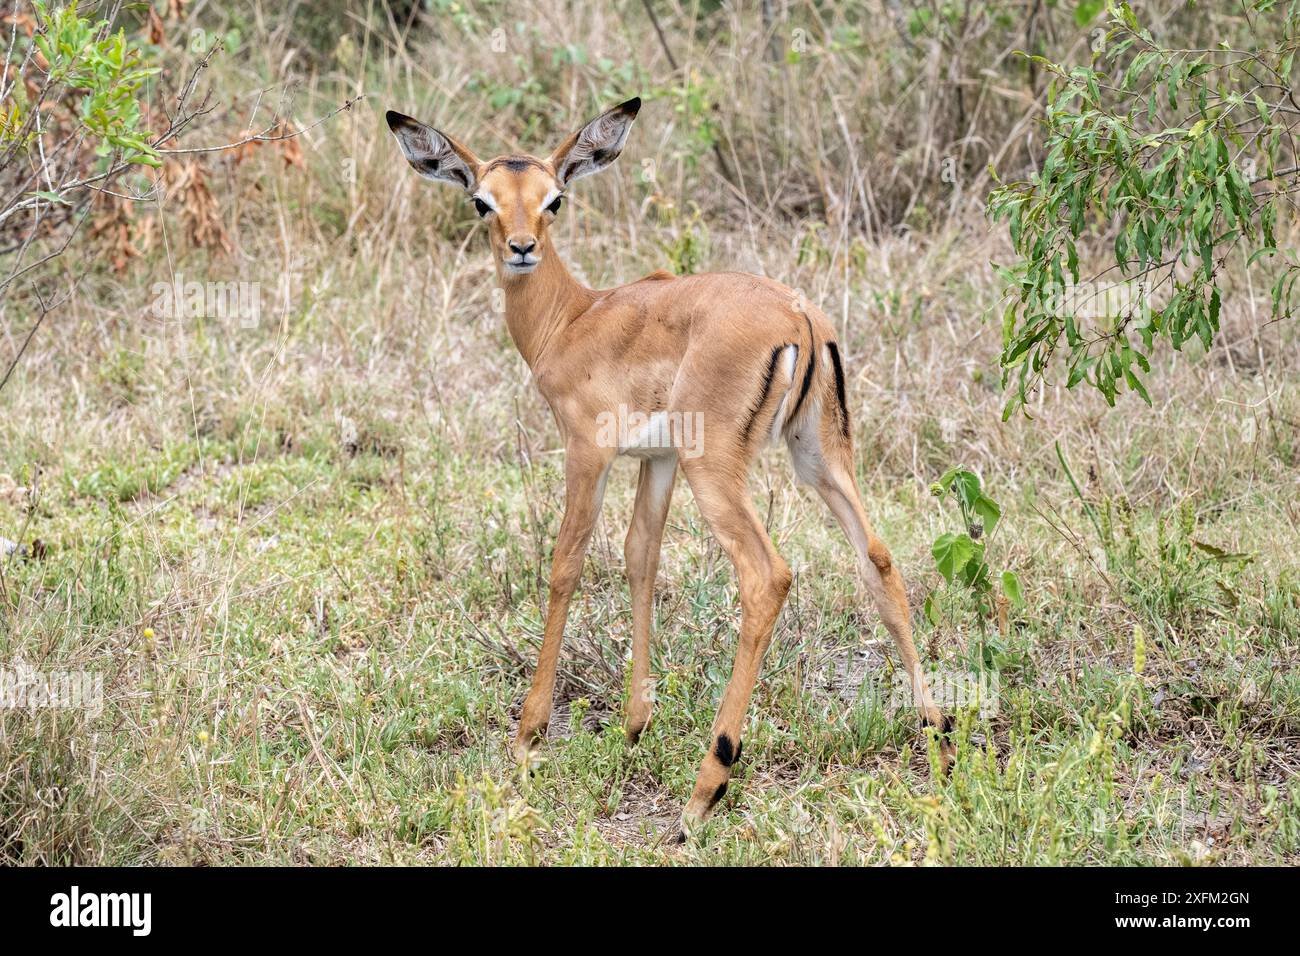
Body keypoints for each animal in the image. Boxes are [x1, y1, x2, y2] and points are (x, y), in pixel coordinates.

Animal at [384, 97, 956, 842]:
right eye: (483, 201)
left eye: (554, 199)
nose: (521, 248)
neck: (573, 319)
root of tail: (799, 314)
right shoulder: (654, 461)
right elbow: (641, 558)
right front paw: (634, 725)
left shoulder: (588, 453)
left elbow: (567, 565)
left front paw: (528, 738)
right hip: (818, 456)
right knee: (879, 557)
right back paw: (938, 740)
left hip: (716, 470)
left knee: (768, 575)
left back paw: (704, 791)